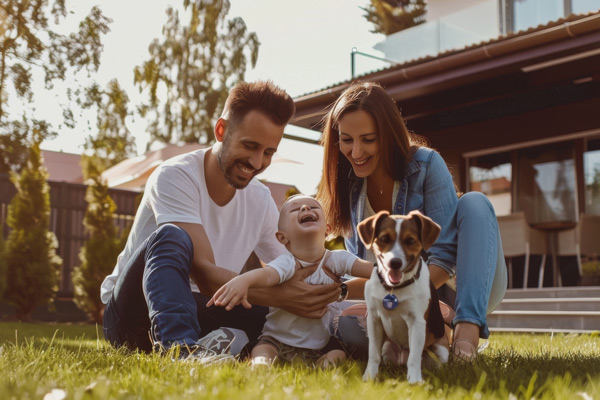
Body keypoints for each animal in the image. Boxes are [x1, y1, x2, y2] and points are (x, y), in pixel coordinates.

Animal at [356, 209, 450, 382]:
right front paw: (370, 377)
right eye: (384, 238)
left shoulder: (417, 321)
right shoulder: (374, 320)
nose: (395, 263)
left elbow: (414, 357)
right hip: (387, 347)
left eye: (410, 240)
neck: (393, 289)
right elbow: (373, 354)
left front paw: (414, 381)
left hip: (441, 350)